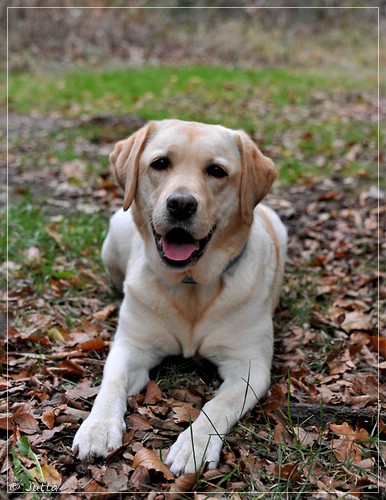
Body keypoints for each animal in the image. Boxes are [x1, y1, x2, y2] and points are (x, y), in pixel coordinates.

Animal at [72, 119, 286, 474]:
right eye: (160, 163)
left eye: (216, 171)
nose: (181, 204)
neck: (191, 286)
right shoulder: (131, 346)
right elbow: (111, 384)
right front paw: (97, 429)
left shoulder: (249, 366)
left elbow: (217, 405)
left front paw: (193, 447)